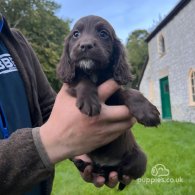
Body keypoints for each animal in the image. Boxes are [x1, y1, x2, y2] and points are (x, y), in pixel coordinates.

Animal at [56, 15, 160, 190]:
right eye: (76, 34)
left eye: (103, 34)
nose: (85, 45)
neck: (94, 73)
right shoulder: (71, 85)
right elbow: (82, 79)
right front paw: (89, 101)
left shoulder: (115, 92)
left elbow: (128, 92)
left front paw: (148, 111)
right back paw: (84, 164)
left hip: (140, 158)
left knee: (121, 171)